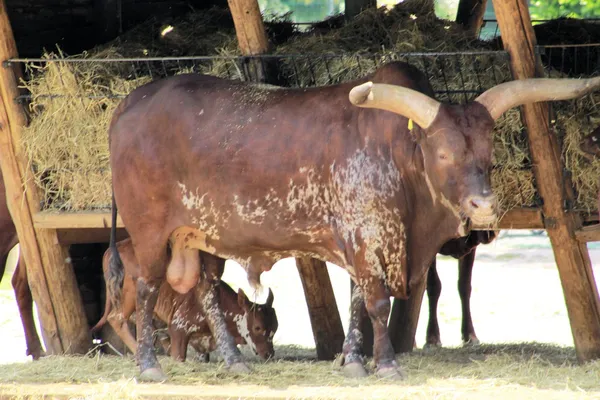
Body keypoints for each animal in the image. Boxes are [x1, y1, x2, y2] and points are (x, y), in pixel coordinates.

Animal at [108, 59, 600, 382]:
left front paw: (353, 360)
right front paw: (385, 363)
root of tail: (131, 102)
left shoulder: (363, 243)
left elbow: (358, 303)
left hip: (199, 238)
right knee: (149, 290)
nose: (483, 206)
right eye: (443, 152)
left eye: (488, 151)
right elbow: (378, 303)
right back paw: (149, 366)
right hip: (149, 232)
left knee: (207, 290)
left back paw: (234, 360)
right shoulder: (367, 237)